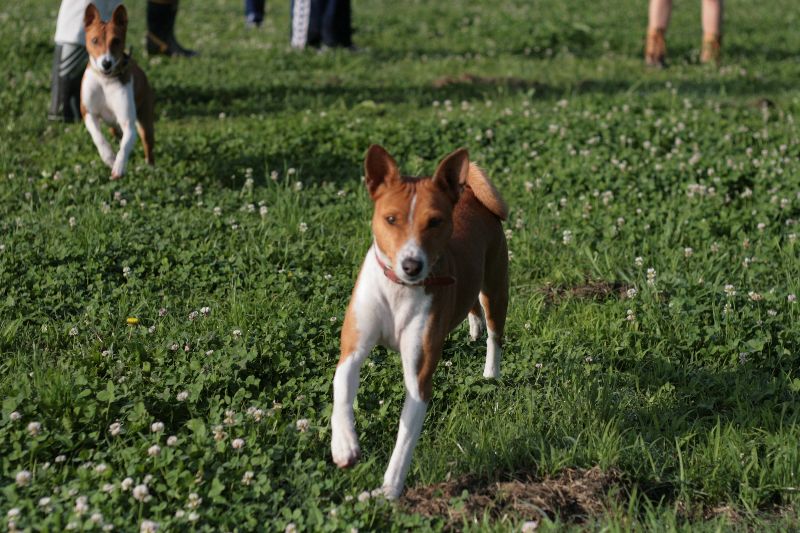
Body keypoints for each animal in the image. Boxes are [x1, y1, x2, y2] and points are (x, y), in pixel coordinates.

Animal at [81, 3, 154, 179]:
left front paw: (119, 166)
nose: (106, 63)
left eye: (116, 41)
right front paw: (108, 157)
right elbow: (98, 137)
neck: (105, 81)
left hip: (145, 122)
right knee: (113, 132)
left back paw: (151, 167)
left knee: (147, 145)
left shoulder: (128, 122)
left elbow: (125, 146)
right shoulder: (88, 112)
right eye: (94, 40)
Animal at [331, 145, 509, 498]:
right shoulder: (353, 349)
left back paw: (490, 373)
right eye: (391, 219)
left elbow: (404, 442)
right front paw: (344, 445)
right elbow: (341, 388)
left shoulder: (419, 378)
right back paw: (472, 330)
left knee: (494, 335)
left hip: (496, 290)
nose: (412, 265)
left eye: (435, 221)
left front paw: (389, 490)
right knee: (471, 306)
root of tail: (472, 196)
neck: (399, 290)